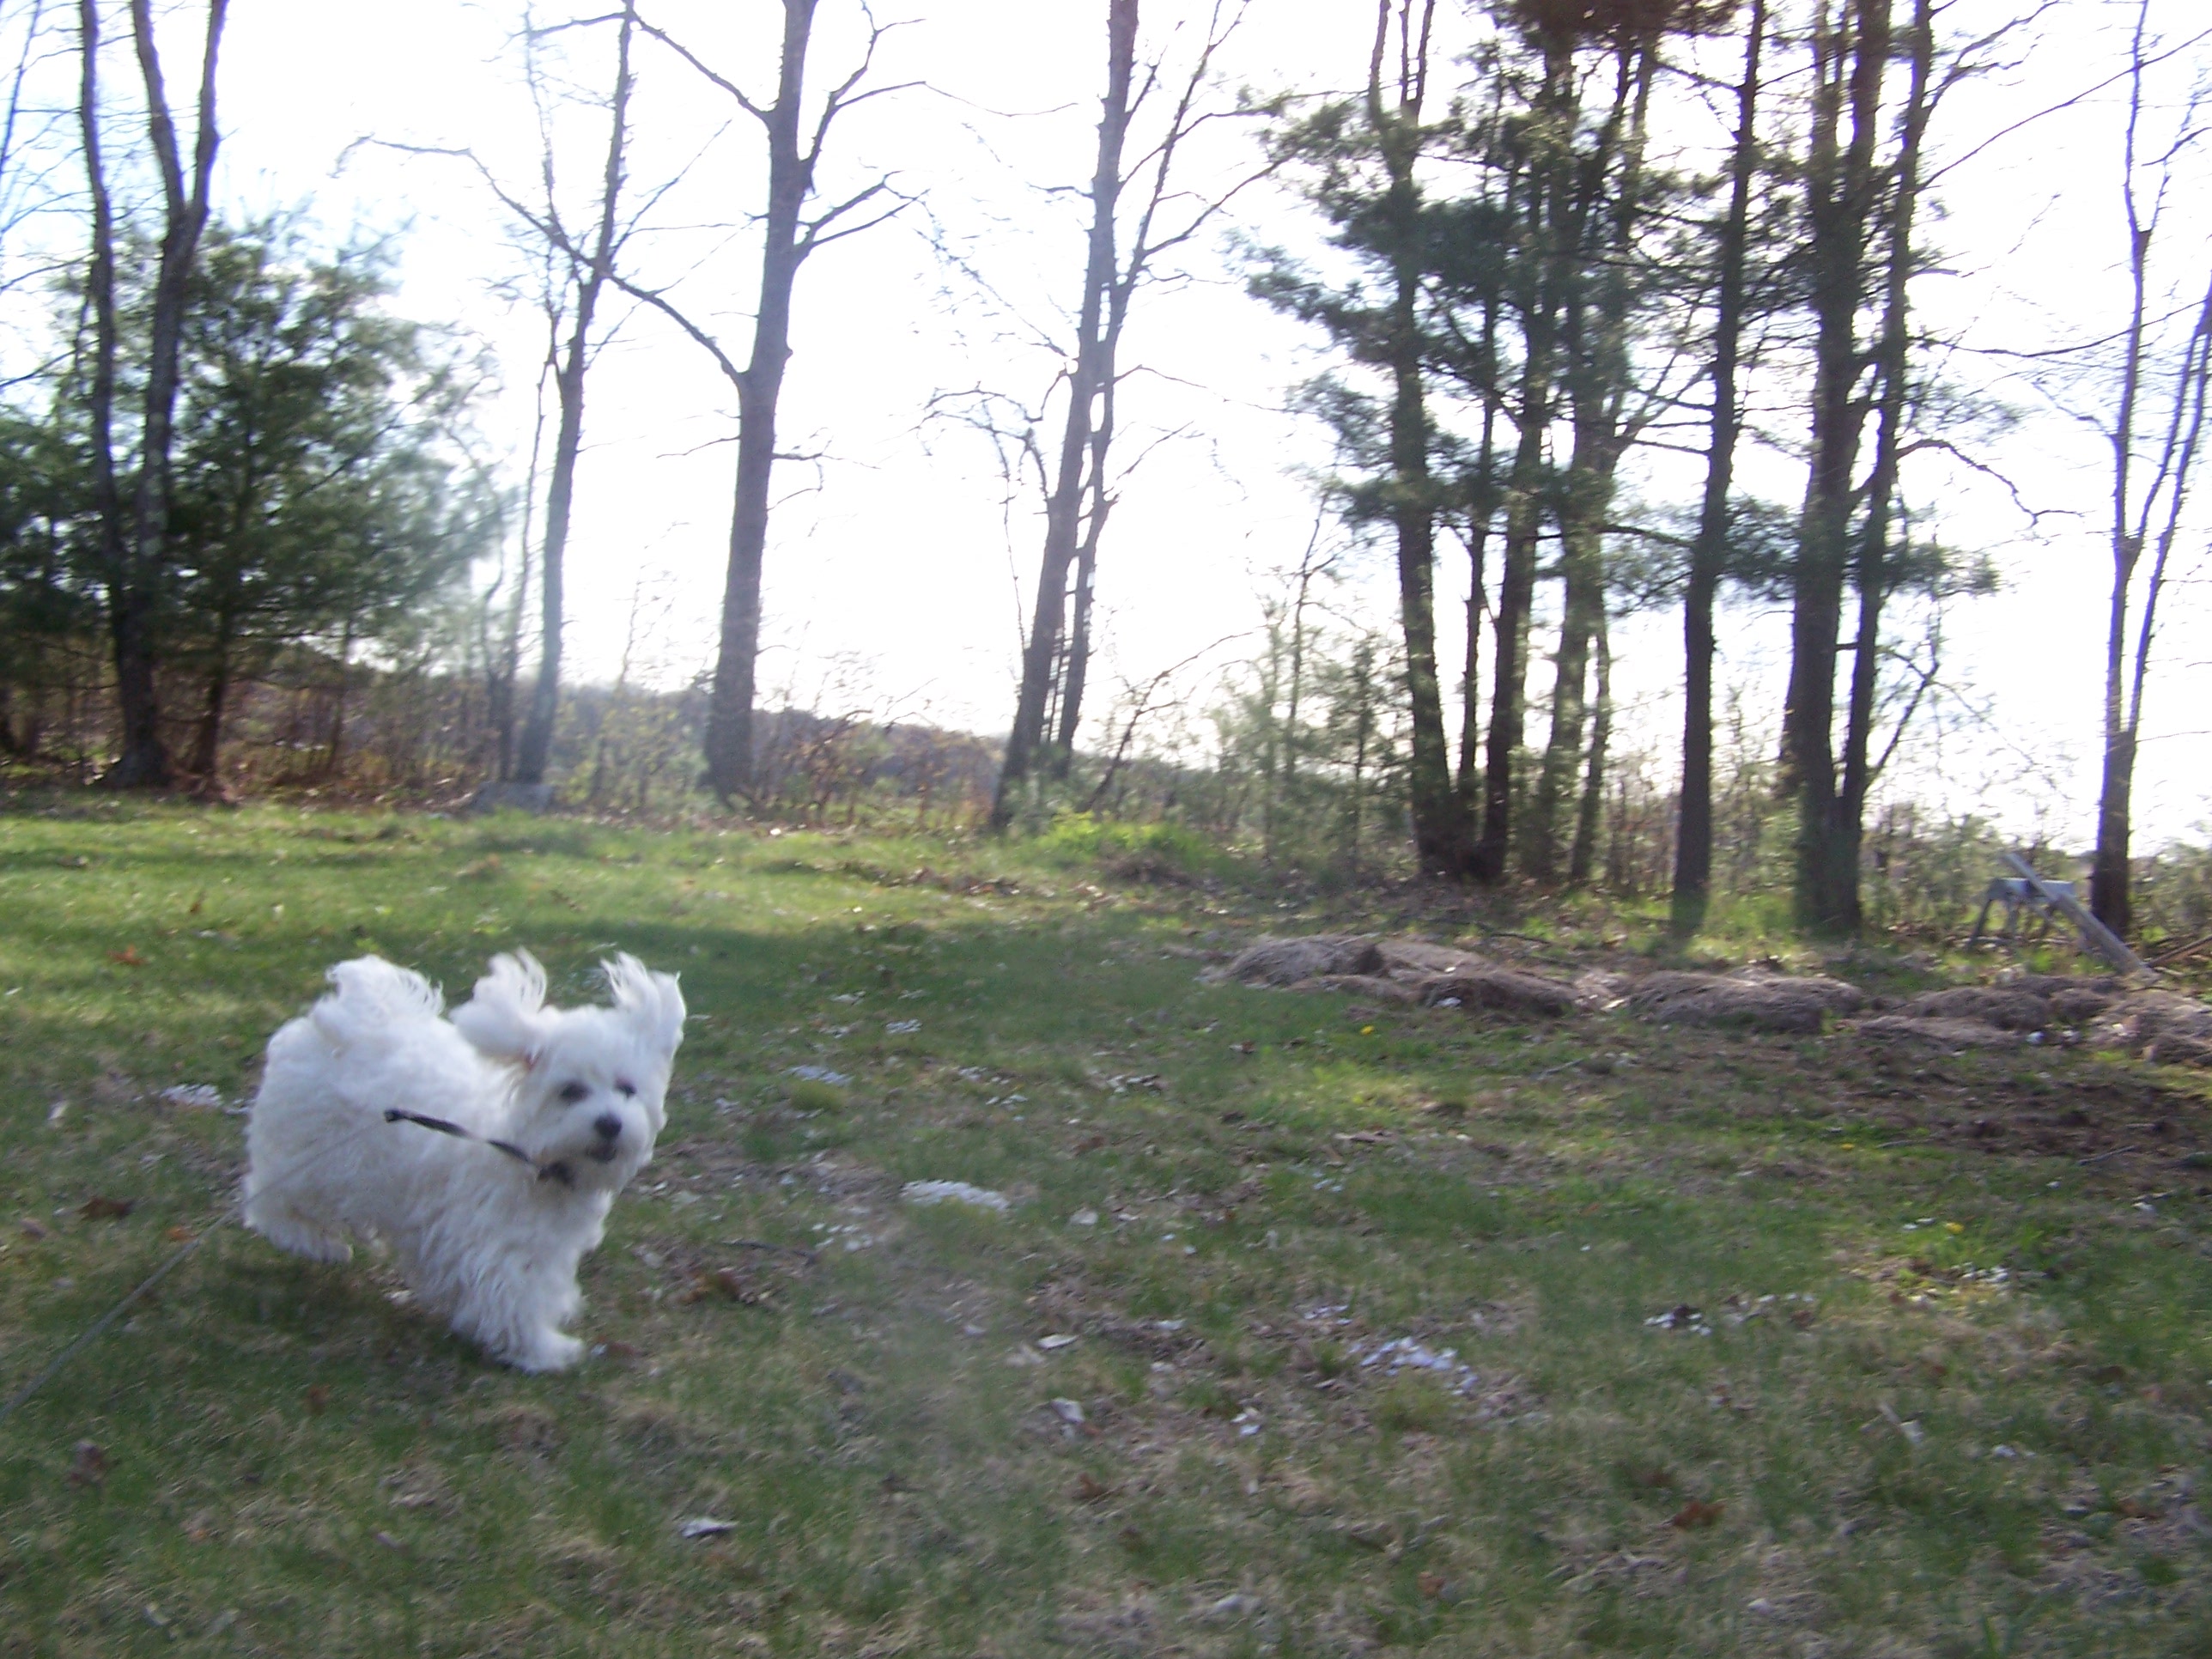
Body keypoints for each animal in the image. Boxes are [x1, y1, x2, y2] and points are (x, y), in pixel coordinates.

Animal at [243, 950, 685, 1372]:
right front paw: (539, 1350)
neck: (527, 1154)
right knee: (273, 1197)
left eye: (626, 1089)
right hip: (319, 1159)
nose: (610, 1123)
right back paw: (316, 1243)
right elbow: (511, 1291)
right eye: (571, 1091)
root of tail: (344, 1025)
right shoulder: (498, 1240)